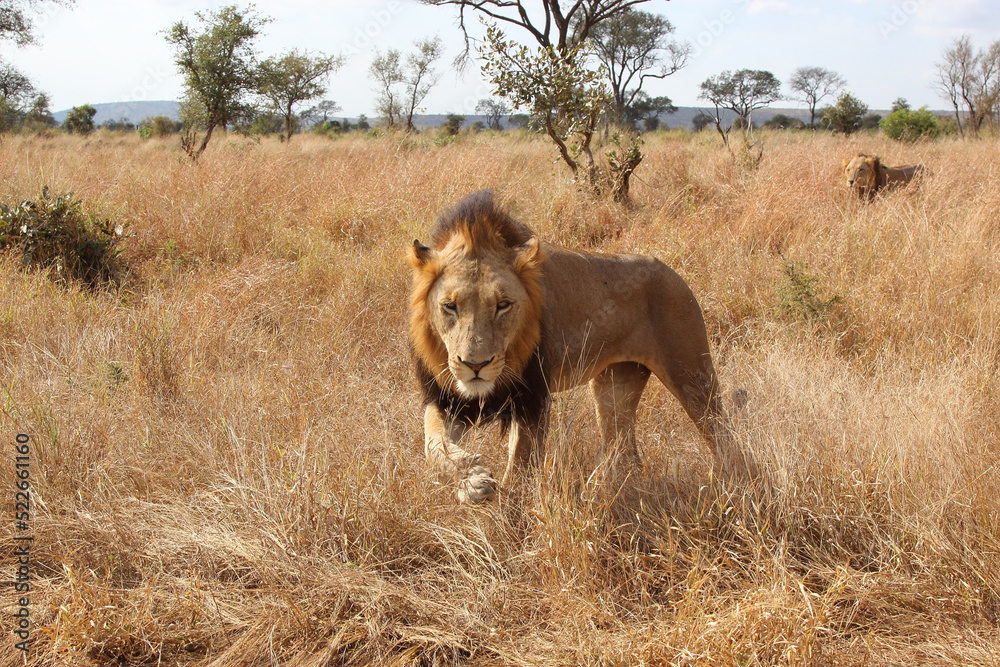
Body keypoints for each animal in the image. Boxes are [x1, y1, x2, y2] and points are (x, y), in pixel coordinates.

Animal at [407, 190, 754, 503]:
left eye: (503, 305)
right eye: (450, 306)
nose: (475, 365)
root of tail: (673, 273)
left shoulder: (533, 398)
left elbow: (521, 465)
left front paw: (510, 508)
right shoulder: (445, 398)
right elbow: (433, 443)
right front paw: (472, 481)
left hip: (692, 376)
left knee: (725, 440)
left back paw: (734, 487)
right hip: (615, 384)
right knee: (625, 454)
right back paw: (605, 494)